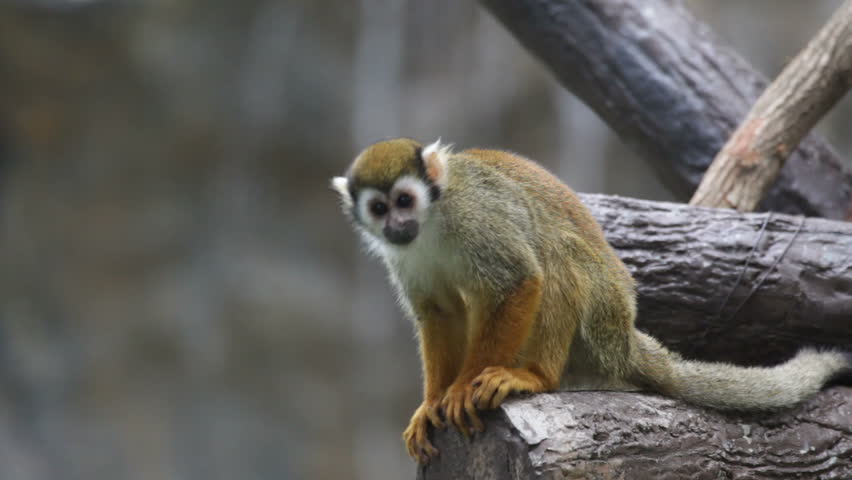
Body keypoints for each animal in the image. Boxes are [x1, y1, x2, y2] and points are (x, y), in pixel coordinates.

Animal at [330, 137, 852, 464]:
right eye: (379, 208)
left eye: (404, 200)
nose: (396, 225)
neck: (432, 220)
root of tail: (625, 340)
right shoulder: (402, 256)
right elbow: (438, 311)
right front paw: (433, 401)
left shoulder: (475, 217)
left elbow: (520, 280)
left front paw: (461, 389)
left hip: (600, 325)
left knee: (556, 254)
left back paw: (533, 376)